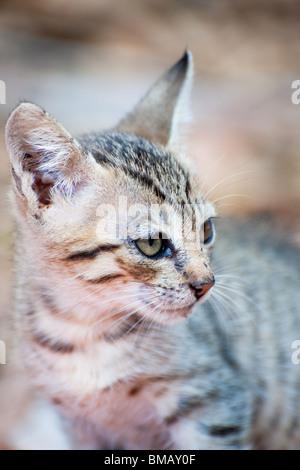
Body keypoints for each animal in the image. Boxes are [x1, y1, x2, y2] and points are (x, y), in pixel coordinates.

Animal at [5, 52, 300, 452]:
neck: (84, 330)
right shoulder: (79, 426)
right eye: (152, 244)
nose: (206, 284)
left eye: (206, 230)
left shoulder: (214, 400)